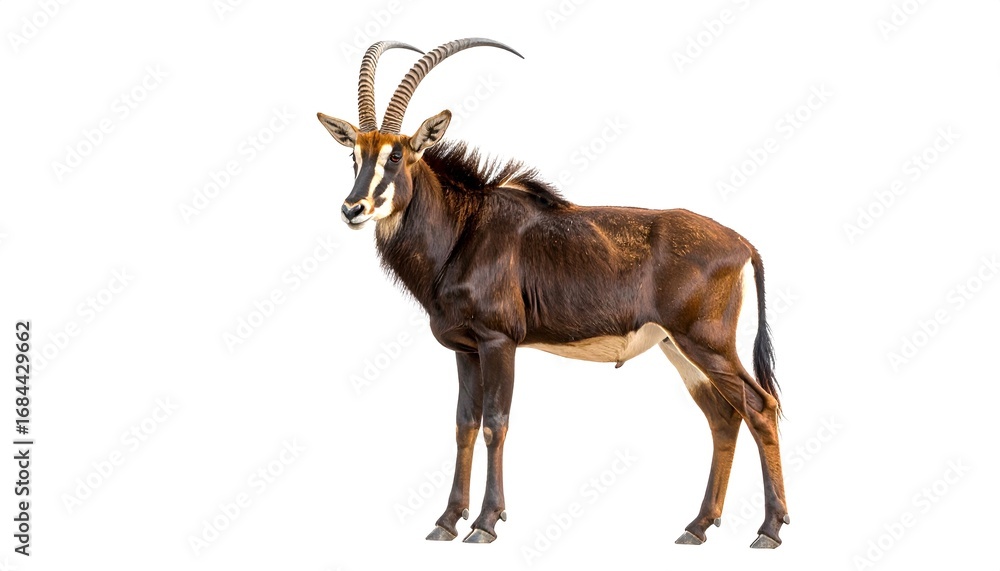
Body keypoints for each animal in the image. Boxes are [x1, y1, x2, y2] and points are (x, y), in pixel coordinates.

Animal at [317, 38, 790, 548]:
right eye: (355, 156)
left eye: (397, 156)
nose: (353, 208)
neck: (464, 230)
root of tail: (742, 244)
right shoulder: (465, 349)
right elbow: (464, 425)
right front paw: (445, 521)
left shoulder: (499, 341)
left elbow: (495, 424)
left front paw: (485, 523)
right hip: (677, 347)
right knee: (723, 417)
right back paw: (698, 526)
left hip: (706, 341)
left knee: (760, 408)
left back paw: (769, 529)